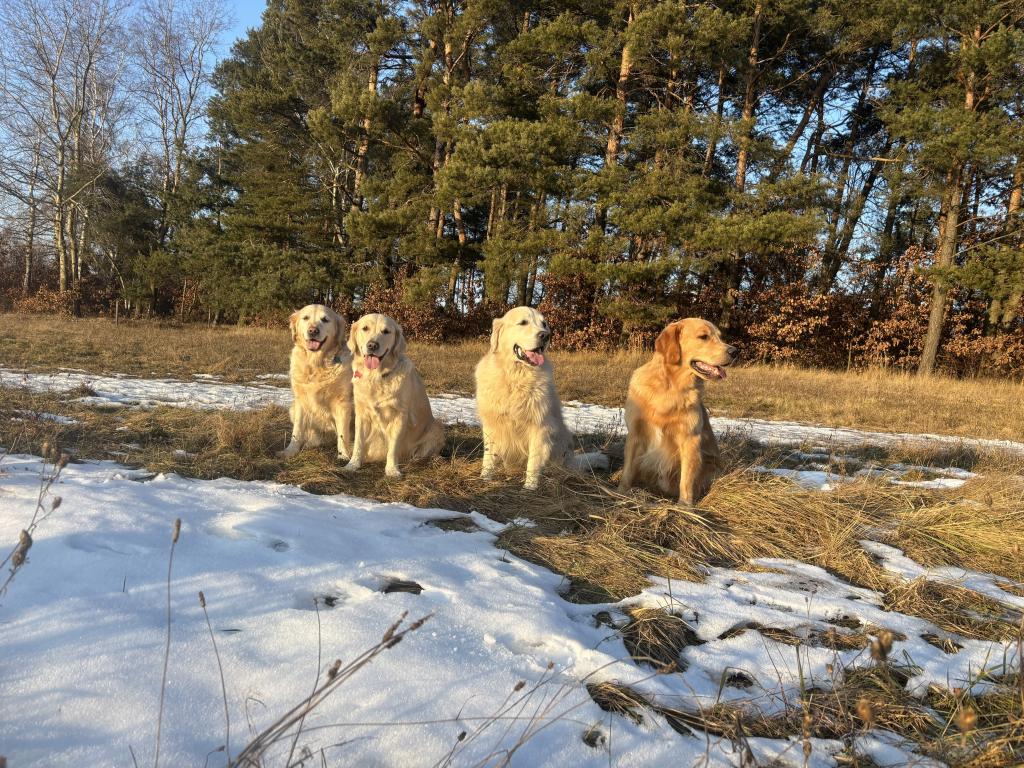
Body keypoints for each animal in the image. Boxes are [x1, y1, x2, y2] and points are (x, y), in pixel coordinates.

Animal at [279, 304, 355, 461]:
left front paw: (343, 456)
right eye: (305, 318)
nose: (313, 331)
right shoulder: (301, 401)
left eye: (325, 319)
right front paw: (290, 451)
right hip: (292, 408)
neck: (316, 364)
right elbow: (297, 431)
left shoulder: (342, 403)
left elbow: (343, 433)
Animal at [342, 313, 445, 477]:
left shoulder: (399, 416)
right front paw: (353, 464)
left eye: (386, 331)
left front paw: (392, 470)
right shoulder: (361, 414)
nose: (372, 345)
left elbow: (393, 447)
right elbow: (358, 442)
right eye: (365, 328)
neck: (376, 377)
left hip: (437, 428)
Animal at [475, 306, 608, 490]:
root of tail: (571, 461)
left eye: (544, 324)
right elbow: (489, 456)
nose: (545, 335)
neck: (517, 376)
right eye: (523, 322)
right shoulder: (492, 424)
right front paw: (485, 478)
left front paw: (529, 487)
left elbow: (534, 461)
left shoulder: (540, 427)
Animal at [618, 318, 737, 505]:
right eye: (703, 336)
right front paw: (620, 492)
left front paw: (684, 505)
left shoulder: (690, 438)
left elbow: (686, 480)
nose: (735, 351)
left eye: (720, 336)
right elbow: (628, 469)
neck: (670, 386)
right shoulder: (635, 433)